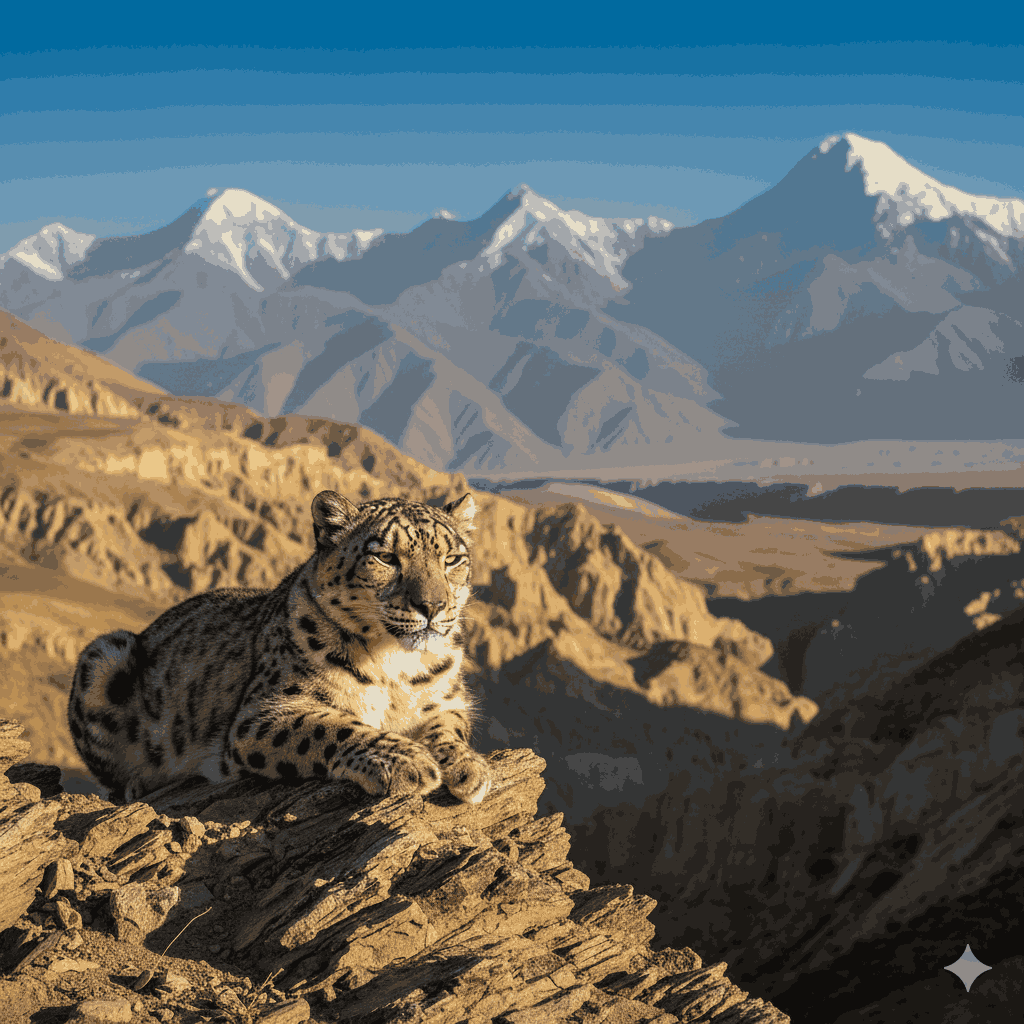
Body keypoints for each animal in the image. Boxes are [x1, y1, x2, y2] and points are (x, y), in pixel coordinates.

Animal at [67, 490, 492, 806]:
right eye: (385, 557)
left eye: (452, 559)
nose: (433, 606)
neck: (396, 663)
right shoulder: (264, 713)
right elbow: (330, 726)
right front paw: (406, 759)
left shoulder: (447, 701)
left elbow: (449, 728)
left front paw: (469, 767)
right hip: (105, 652)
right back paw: (139, 783)